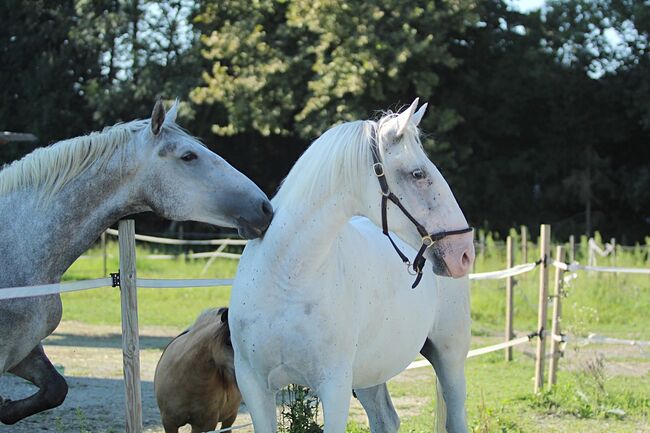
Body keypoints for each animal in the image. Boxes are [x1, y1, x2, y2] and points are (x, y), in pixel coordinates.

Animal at [0, 99, 272, 424]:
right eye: (188, 156)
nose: (265, 208)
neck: (19, 247)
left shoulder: (24, 350)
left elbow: (56, 388)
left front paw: (5, 408)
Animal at [230, 98, 474, 432]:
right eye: (417, 174)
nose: (463, 254)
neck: (285, 278)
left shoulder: (334, 387)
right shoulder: (254, 387)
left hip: (450, 358)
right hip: (371, 371)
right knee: (386, 420)